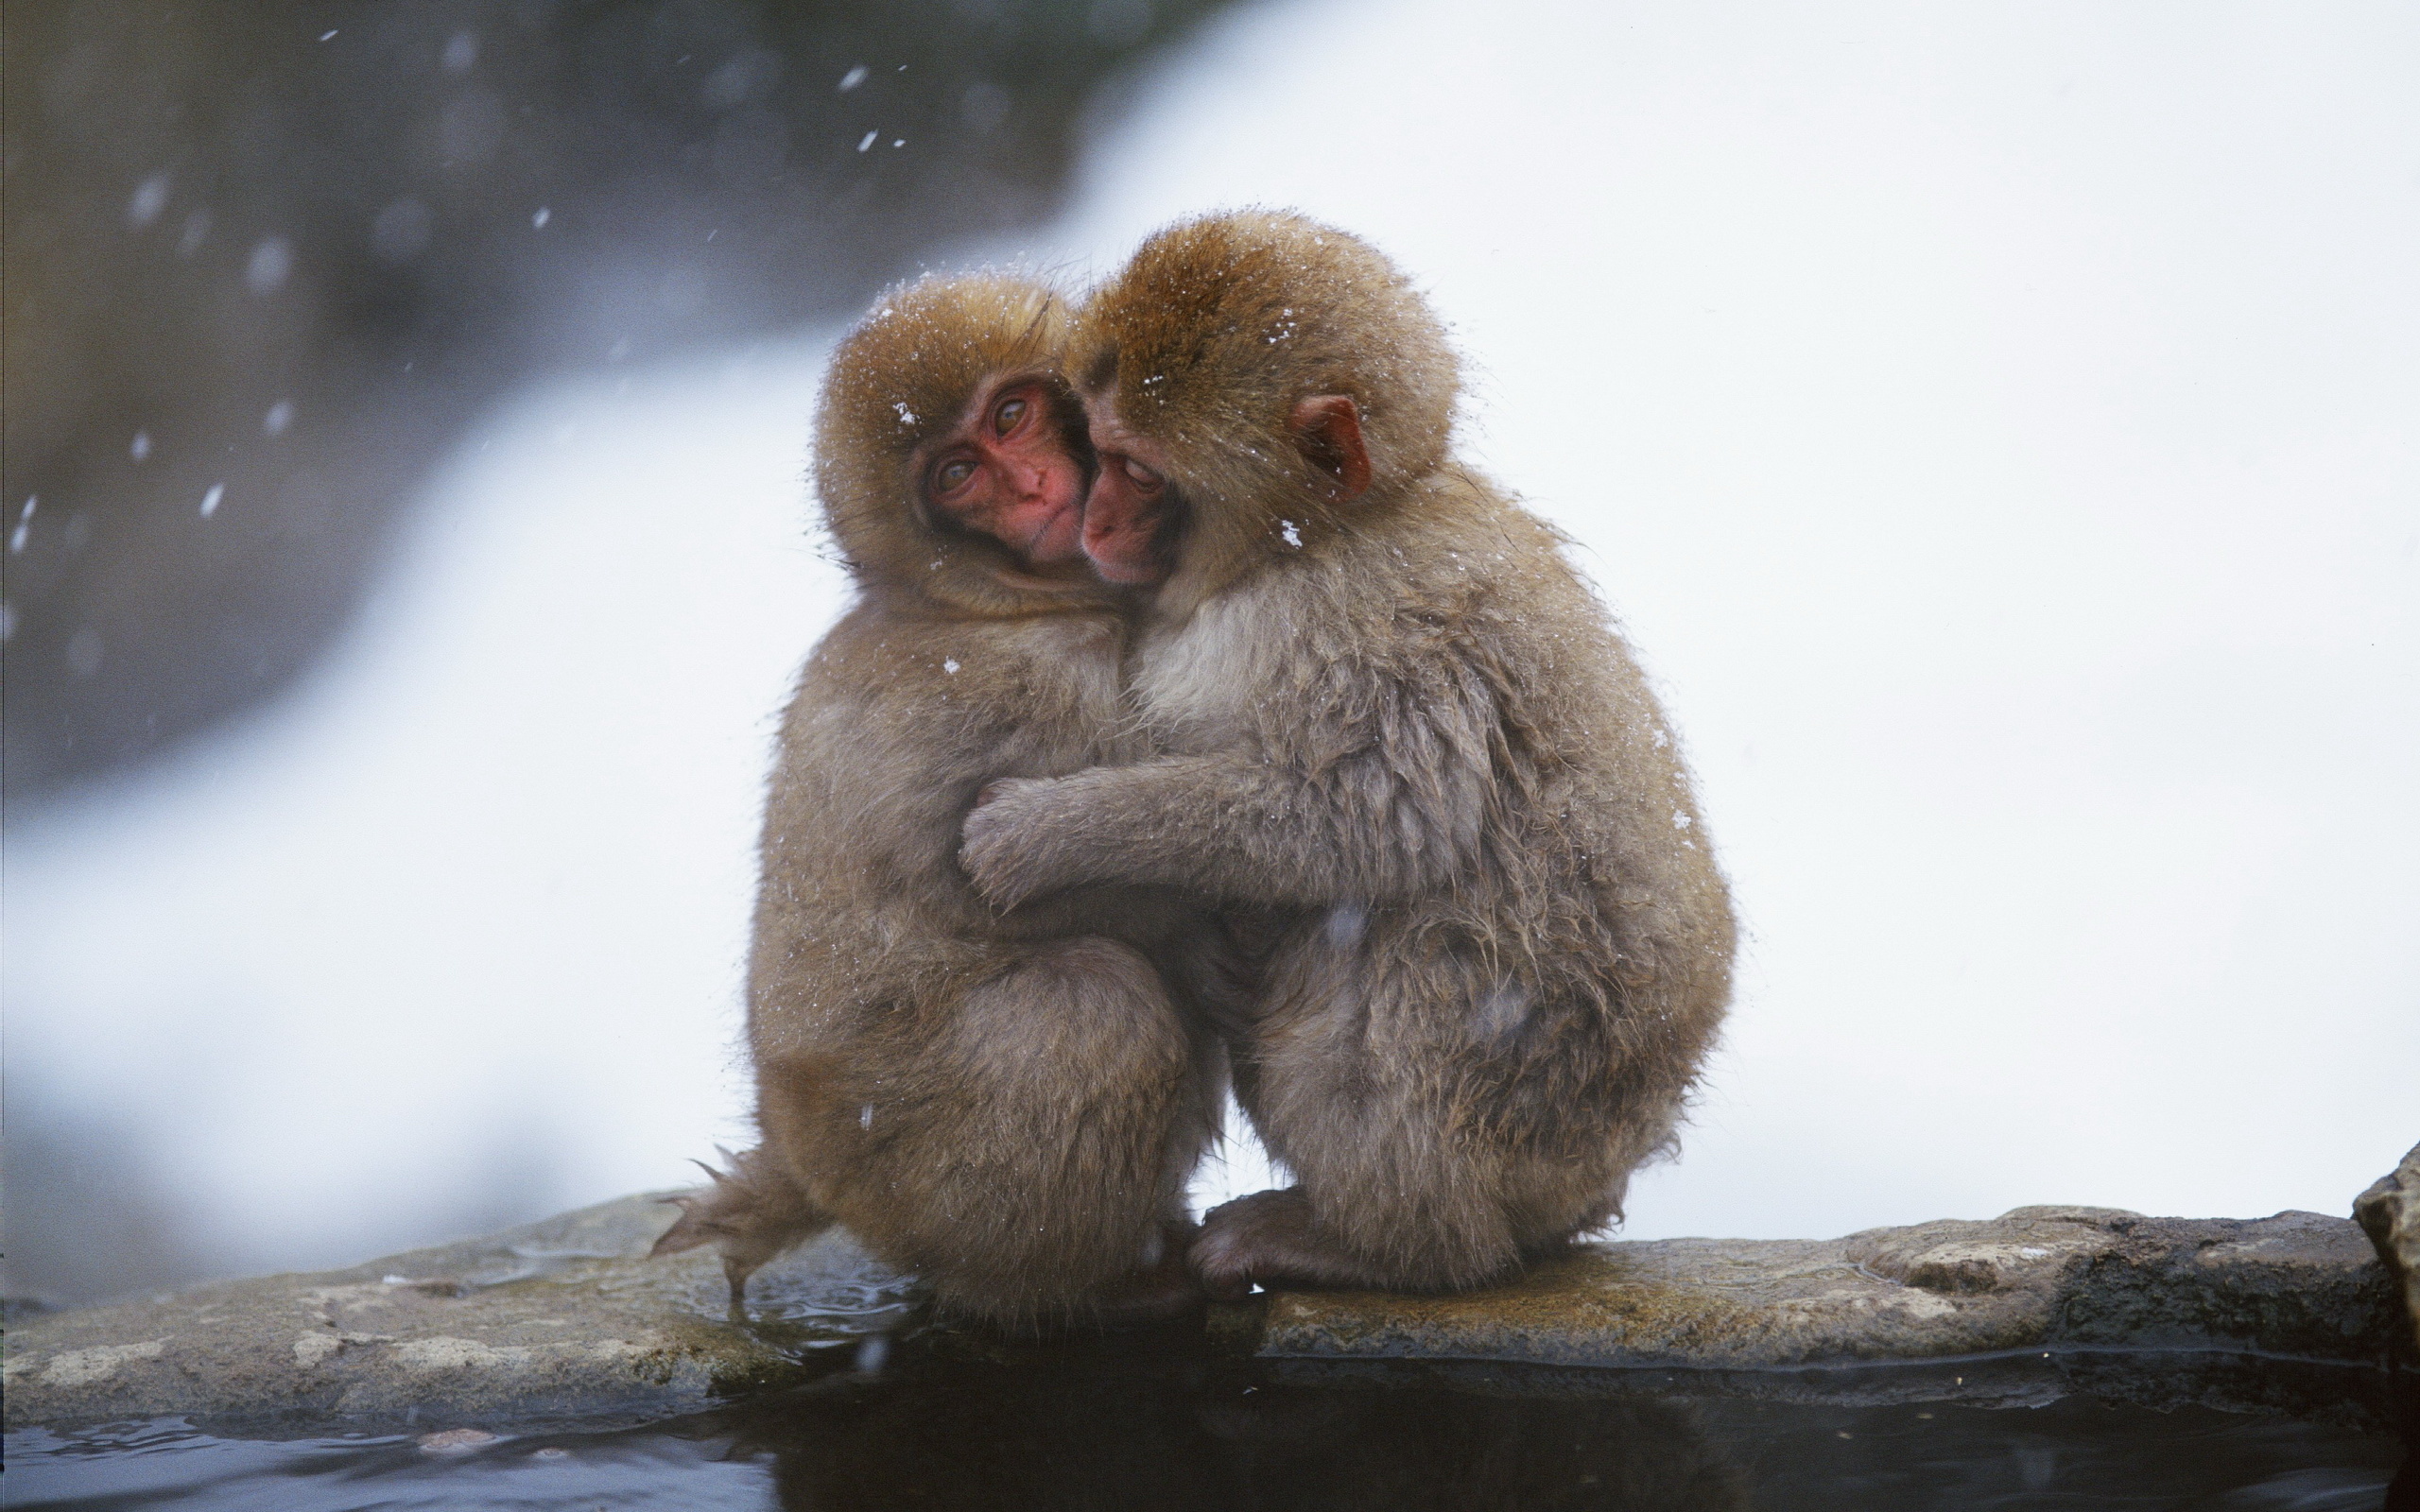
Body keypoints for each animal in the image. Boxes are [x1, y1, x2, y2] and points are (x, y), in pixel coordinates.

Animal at [653, 272, 1219, 1330]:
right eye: (958, 474)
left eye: (1012, 416)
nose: (1033, 487)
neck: (982, 602)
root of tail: (801, 1161)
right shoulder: (1032, 685)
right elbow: (1048, 880)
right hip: (911, 1161)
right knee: (1092, 1007)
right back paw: (1091, 1284)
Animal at [960, 211, 1737, 1298]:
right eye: (1095, 450)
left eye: (1139, 471)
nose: (1093, 519)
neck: (1310, 542)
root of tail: (1606, 1162)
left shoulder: (1369, 628)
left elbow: (1374, 818)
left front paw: (1048, 833)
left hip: (1520, 1100)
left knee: (1401, 954)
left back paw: (1390, 1244)